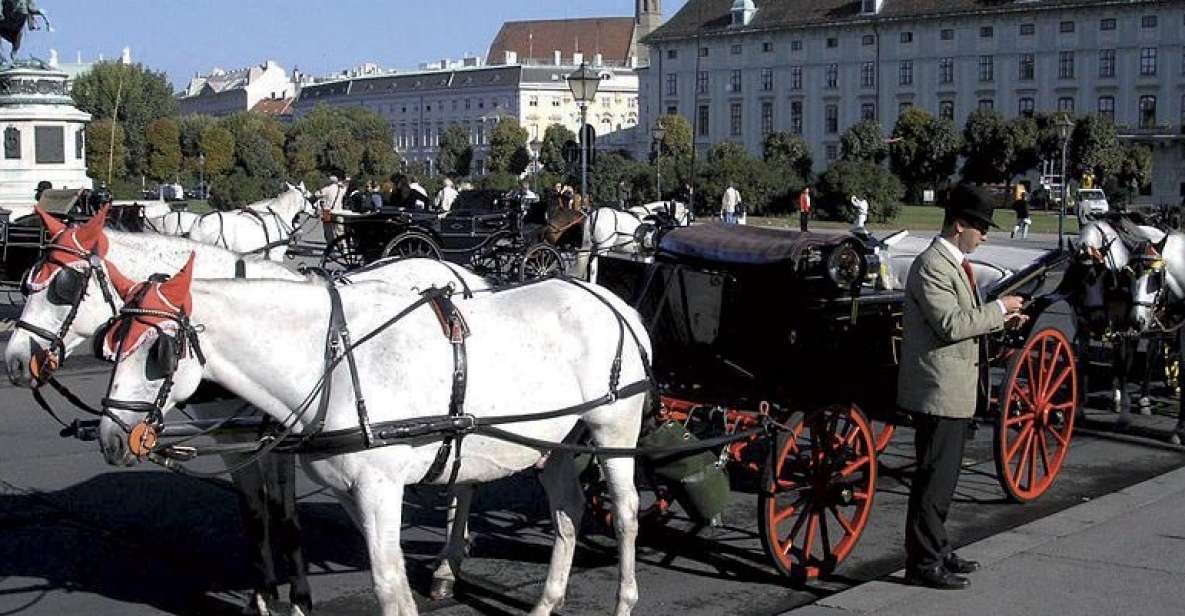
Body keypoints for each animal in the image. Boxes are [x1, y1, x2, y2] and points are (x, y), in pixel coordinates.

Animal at [94, 260, 649, 616]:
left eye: (158, 353)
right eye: (110, 342)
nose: (111, 437)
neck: (331, 361)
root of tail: (615, 302)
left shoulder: (381, 488)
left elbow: (388, 589)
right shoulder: (351, 490)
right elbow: (392, 580)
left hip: (613, 427)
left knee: (624, 514)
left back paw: (623, 601)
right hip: (555, 439)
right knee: (568, 511)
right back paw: (547, 602)